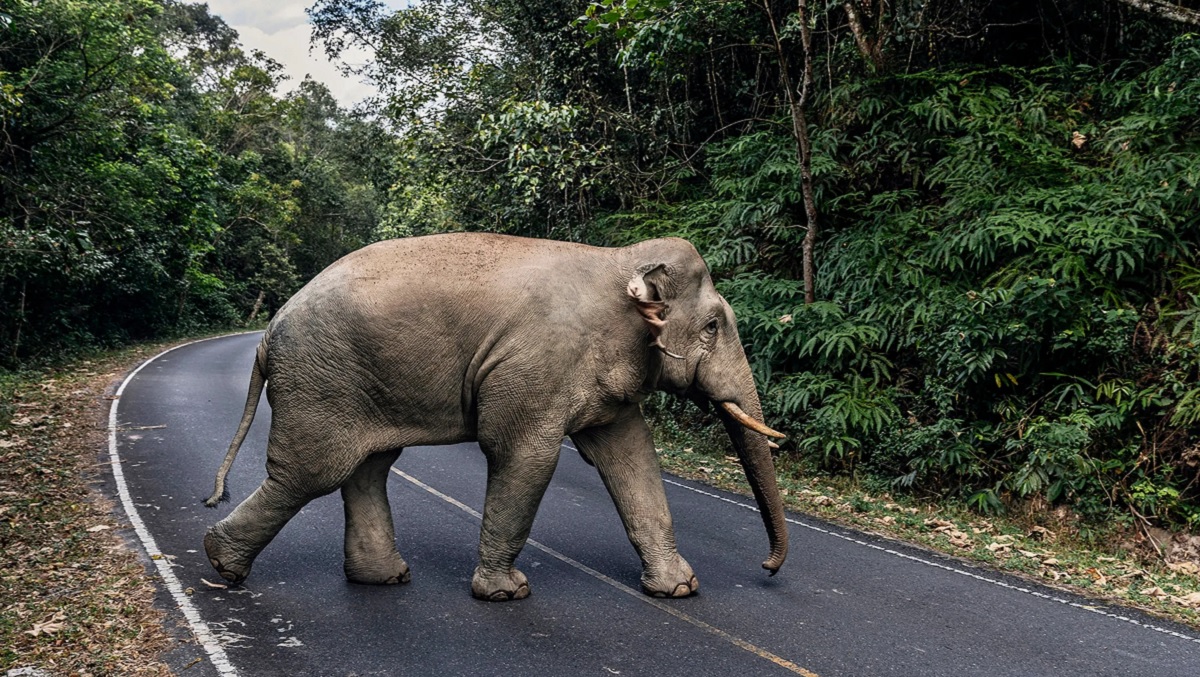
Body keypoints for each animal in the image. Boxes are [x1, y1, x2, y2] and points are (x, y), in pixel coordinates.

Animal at [202, 234, 792, 602]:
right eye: (713, 326)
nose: (767, 569)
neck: (616, 261)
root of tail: (267, 333)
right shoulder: (537, 364)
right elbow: (523, 454)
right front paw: (507, 593)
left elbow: (632, 457)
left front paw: (679, 590)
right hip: (321, 382)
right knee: (312, 473)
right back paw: (222, 564)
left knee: (368, 466)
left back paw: (383, 579)